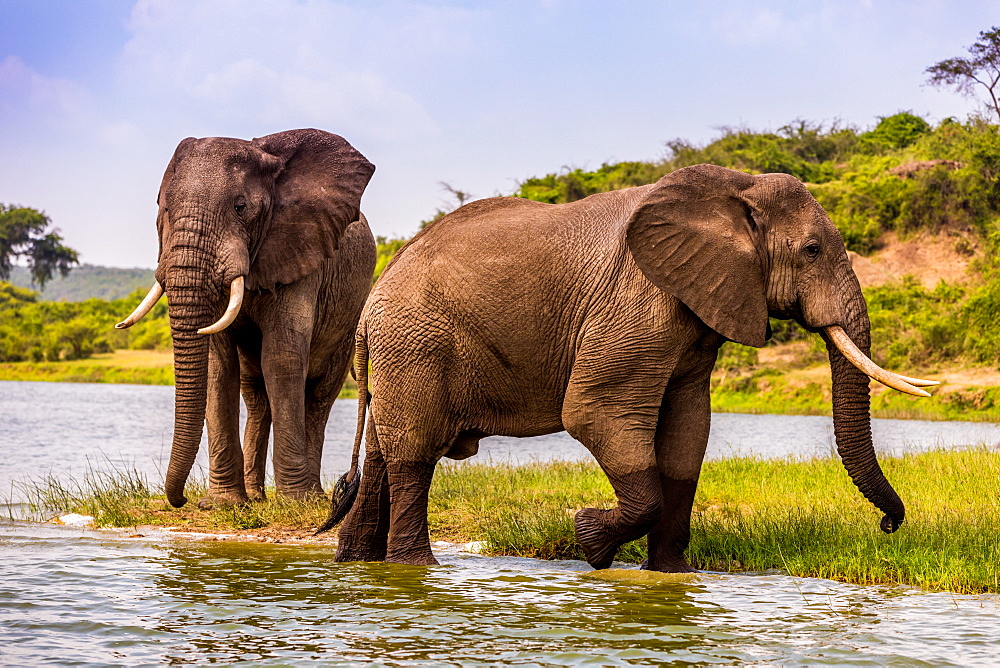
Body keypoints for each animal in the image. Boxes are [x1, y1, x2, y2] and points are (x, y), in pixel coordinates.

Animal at [114, 128, 378, 508]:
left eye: (240, 207)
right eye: (163, 207)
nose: (182, 500)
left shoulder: (302, 251)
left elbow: (281, 358)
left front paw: (294, 502)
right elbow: (219, 364)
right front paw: (224, 503)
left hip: (348, 320)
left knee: (318, 397)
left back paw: (312, 496)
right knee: (256, 395)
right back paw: (255, 496)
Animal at [314, 164, 936, 572]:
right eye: (811, 250)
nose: (888, 527)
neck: (733, 188)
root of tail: (373, 304)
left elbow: (688, 433)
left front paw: (670, 578)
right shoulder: (638, 301)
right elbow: (596, 414)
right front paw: (591, 542)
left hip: (398, 354)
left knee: (383, 457)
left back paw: (357, 564)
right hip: (415, 345)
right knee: (415, 456)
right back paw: (416, 568)